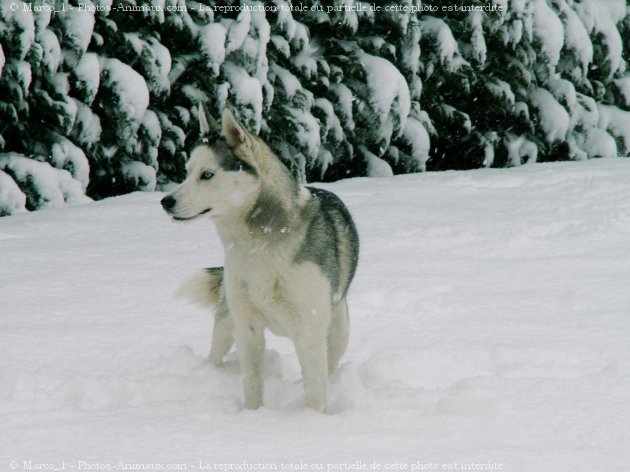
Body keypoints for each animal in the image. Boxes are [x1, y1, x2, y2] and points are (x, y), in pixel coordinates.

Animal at [162, 105, 360, 412]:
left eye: (207, 175)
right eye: (188, 172)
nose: (165, 202)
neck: (260, 244)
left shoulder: (310, 332)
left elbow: (316, 393)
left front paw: (313, 419)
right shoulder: (248, 329)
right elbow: (253, 387)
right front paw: (253, 416)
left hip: (338, 330)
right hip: (227, 321)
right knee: (216, 353)